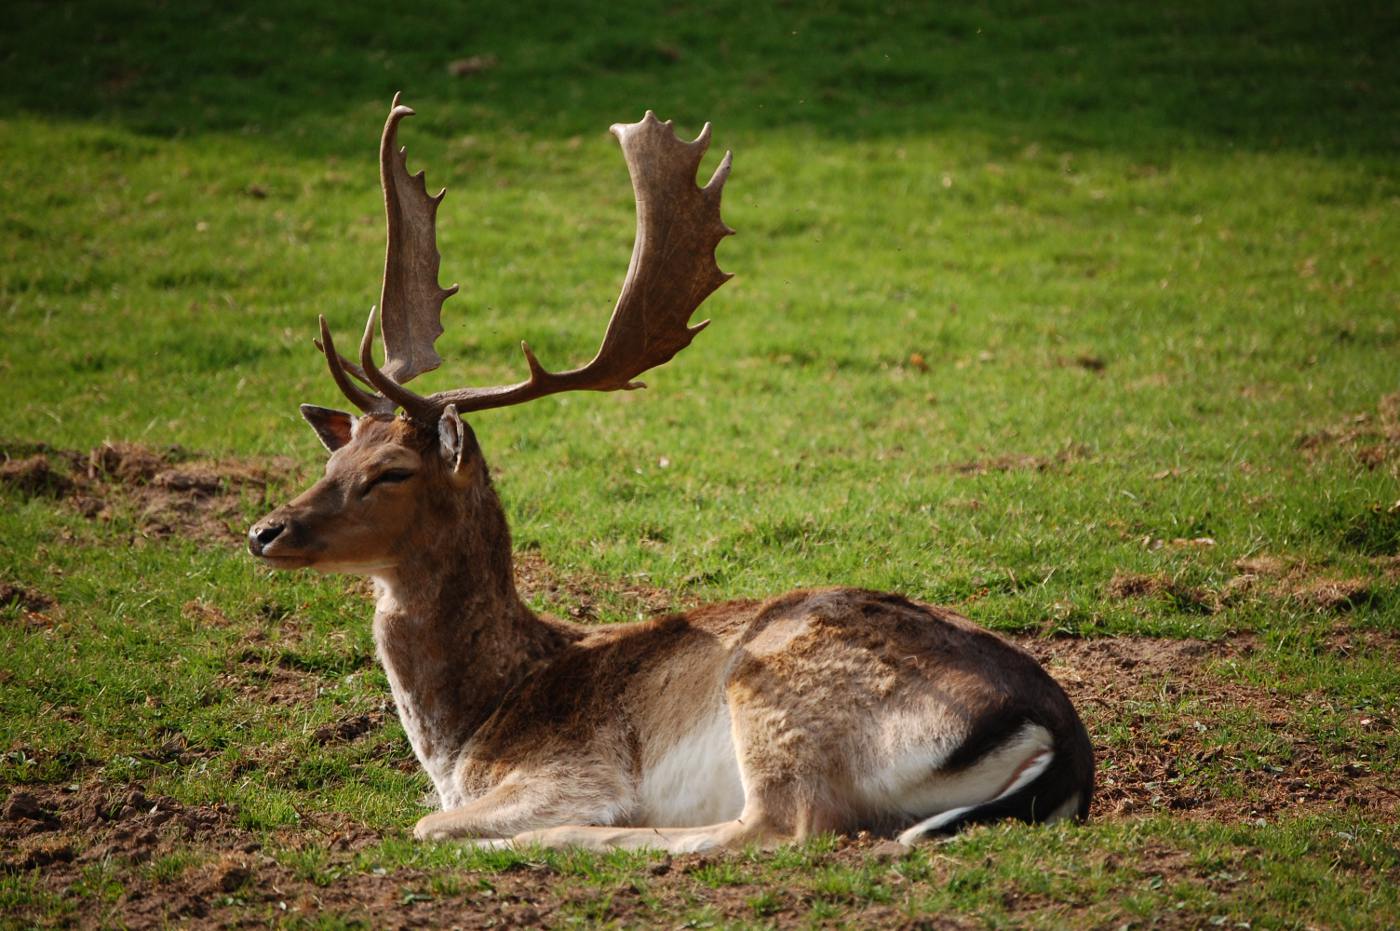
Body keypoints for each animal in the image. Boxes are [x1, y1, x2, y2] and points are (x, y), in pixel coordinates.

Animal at [249, 94, 1092, 851]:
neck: (473, 728)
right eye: (334, 454)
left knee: (780, 828)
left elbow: (427, 821)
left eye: (391, 472)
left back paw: (558, 838)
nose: (264, 530)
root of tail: (1063, 741)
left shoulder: (575, 766)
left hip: (774, 683)